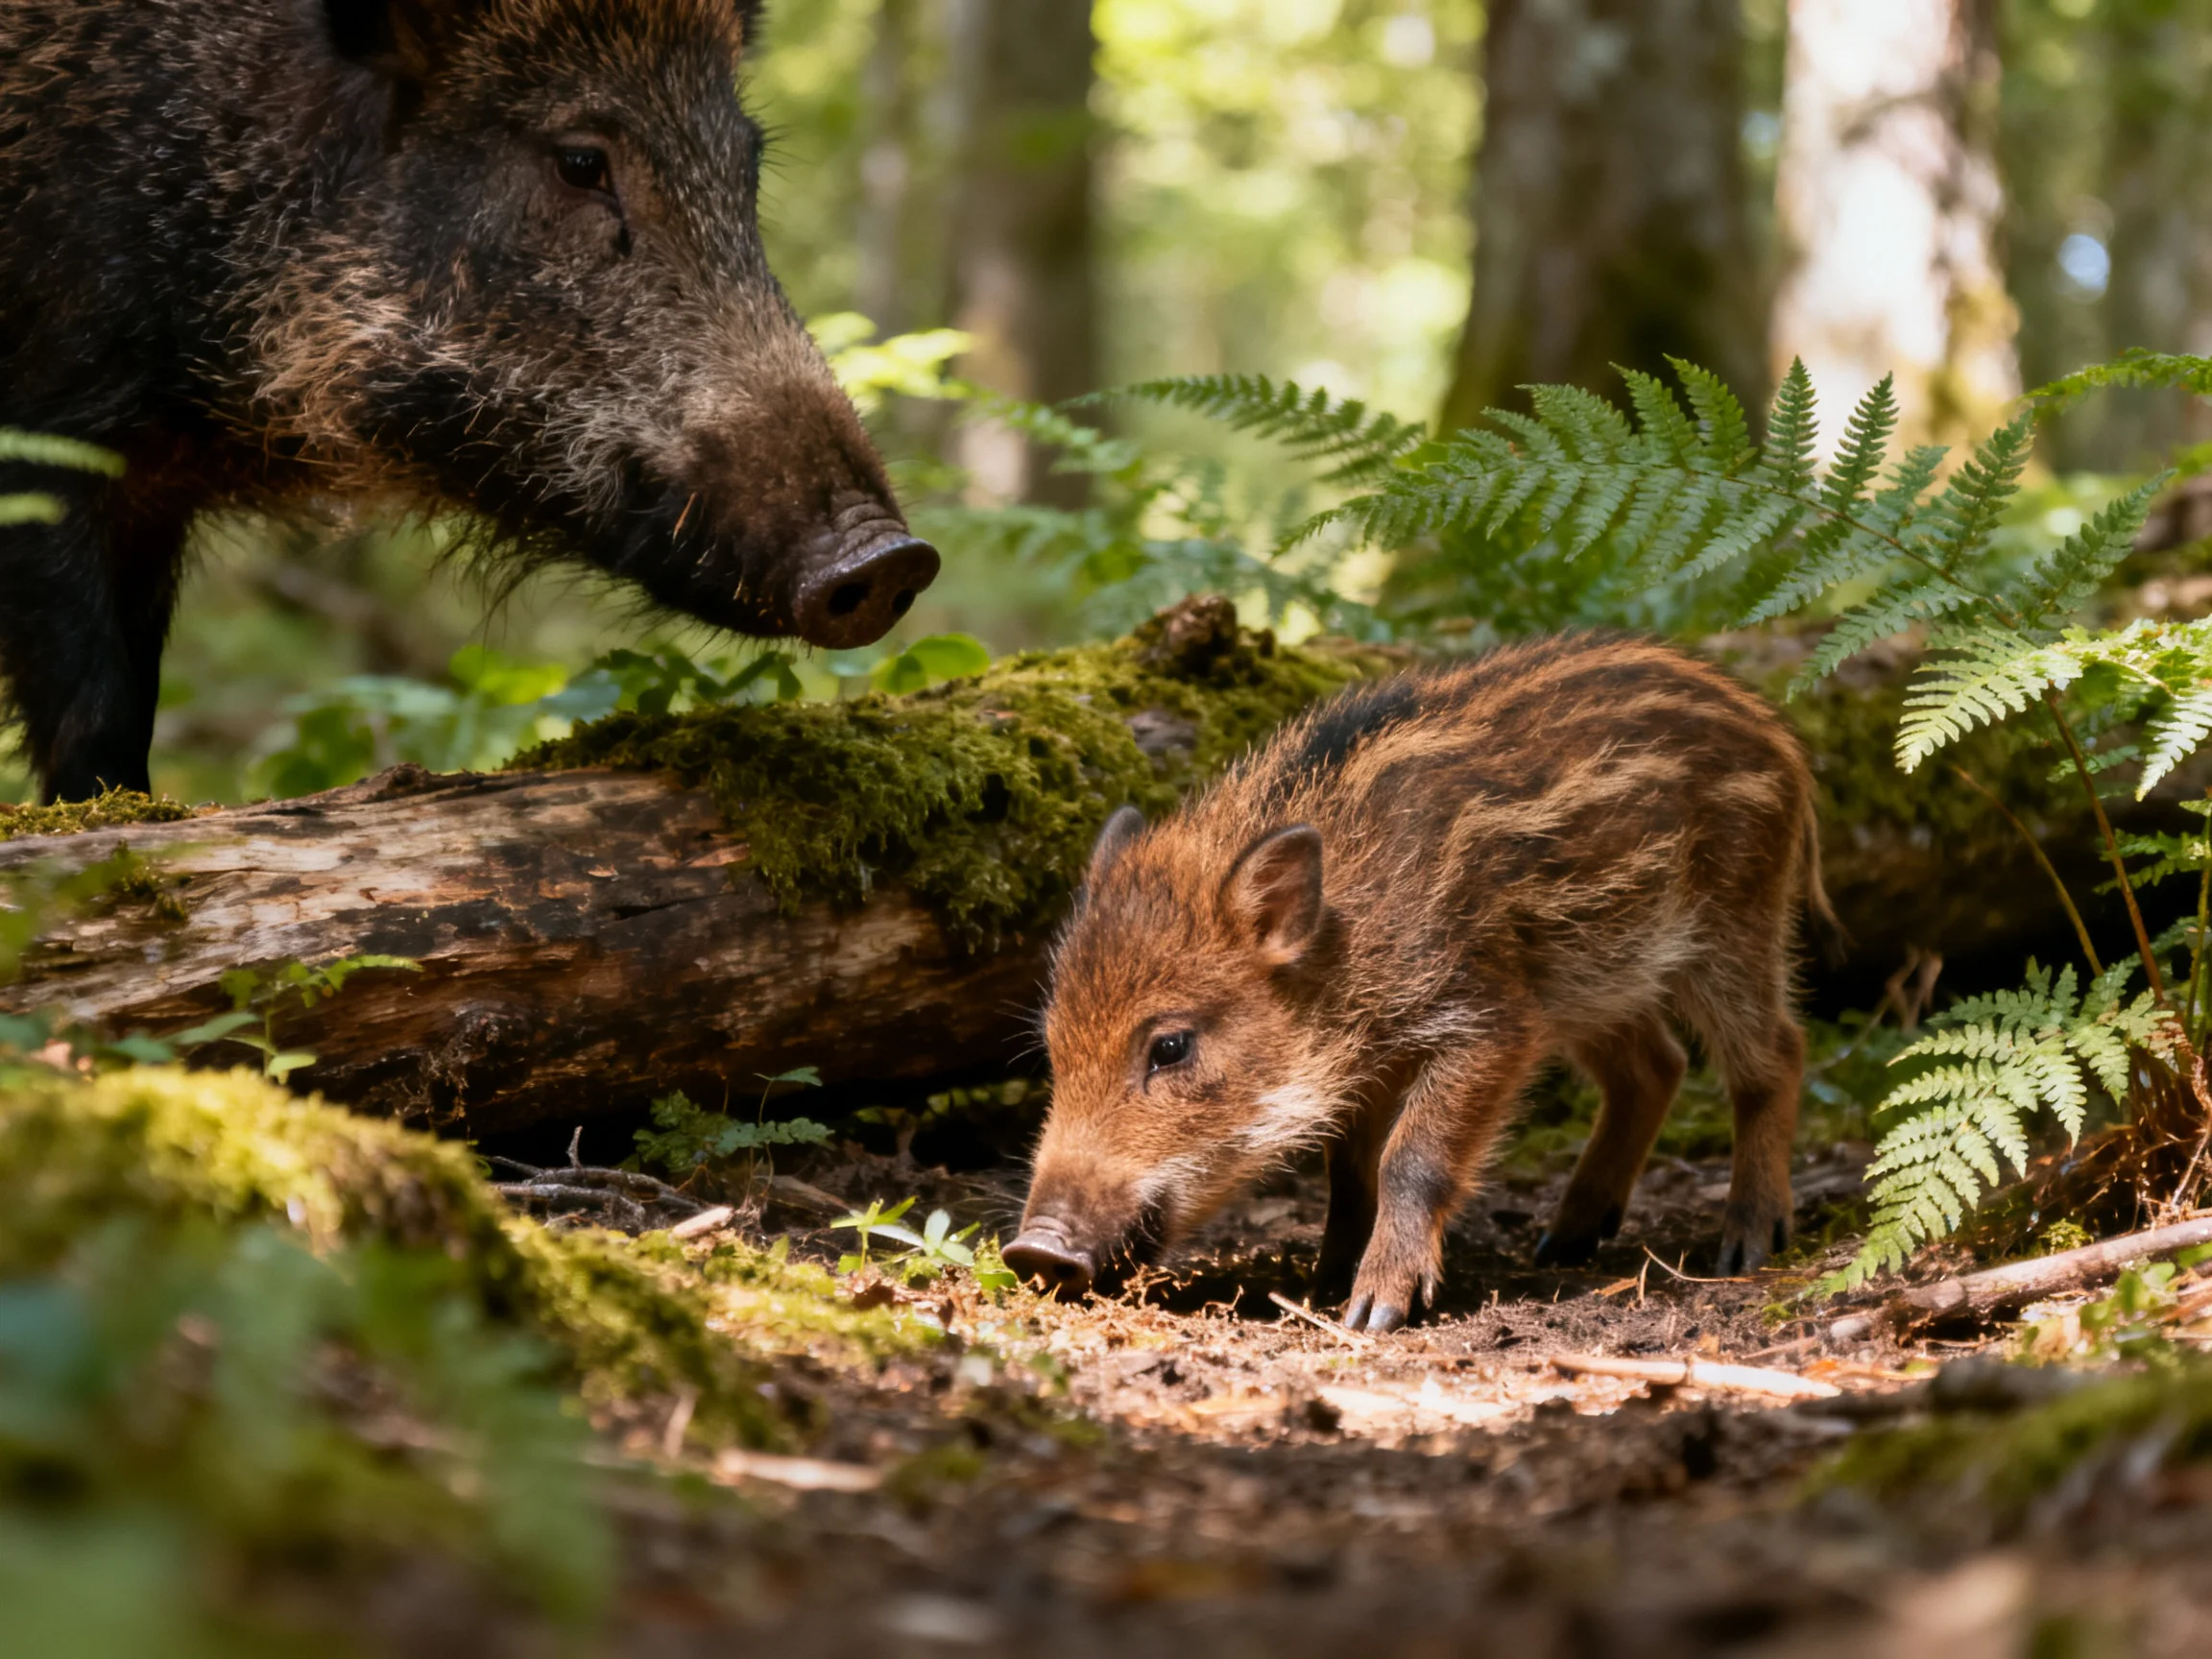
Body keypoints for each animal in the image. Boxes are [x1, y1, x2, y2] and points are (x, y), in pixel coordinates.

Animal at [1004, 634, 1834, 1333]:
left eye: (1171, 1047)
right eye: (1053, 1048)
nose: (1033, 1252)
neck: (1347, 946)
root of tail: (1779, 735)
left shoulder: (1489, 1019)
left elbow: (1411, 1158)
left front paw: (1374, 1311)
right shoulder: (1378, 1057)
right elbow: (1349, 1173)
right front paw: (1327, 1282)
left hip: (1733, 926)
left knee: (1773, 1054)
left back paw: (1747, 1246)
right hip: (1597, 978)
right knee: (1656, 1065)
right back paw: (1562, 1243)